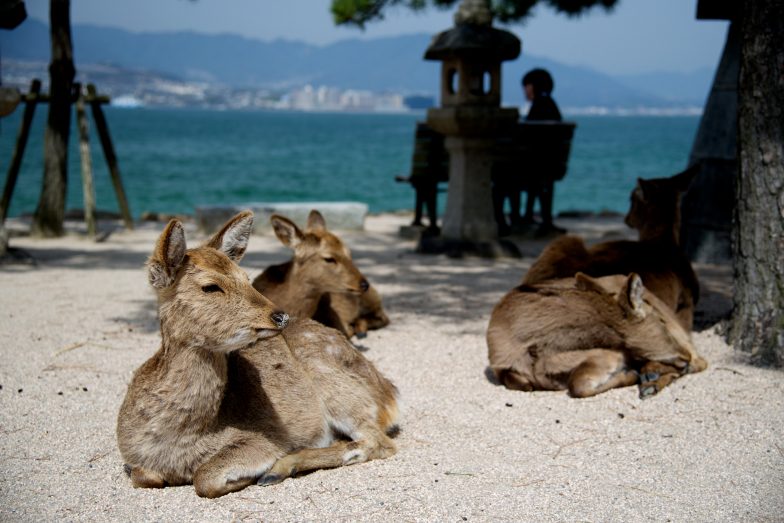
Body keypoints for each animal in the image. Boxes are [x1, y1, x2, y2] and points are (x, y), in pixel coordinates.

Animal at [487, 272, 707, 398]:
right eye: (659, 322)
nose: (684, 355)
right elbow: (577, 385)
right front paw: (635, 375)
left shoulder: (611, 354)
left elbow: (578, 385)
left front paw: (631, 374)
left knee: (702, 362)